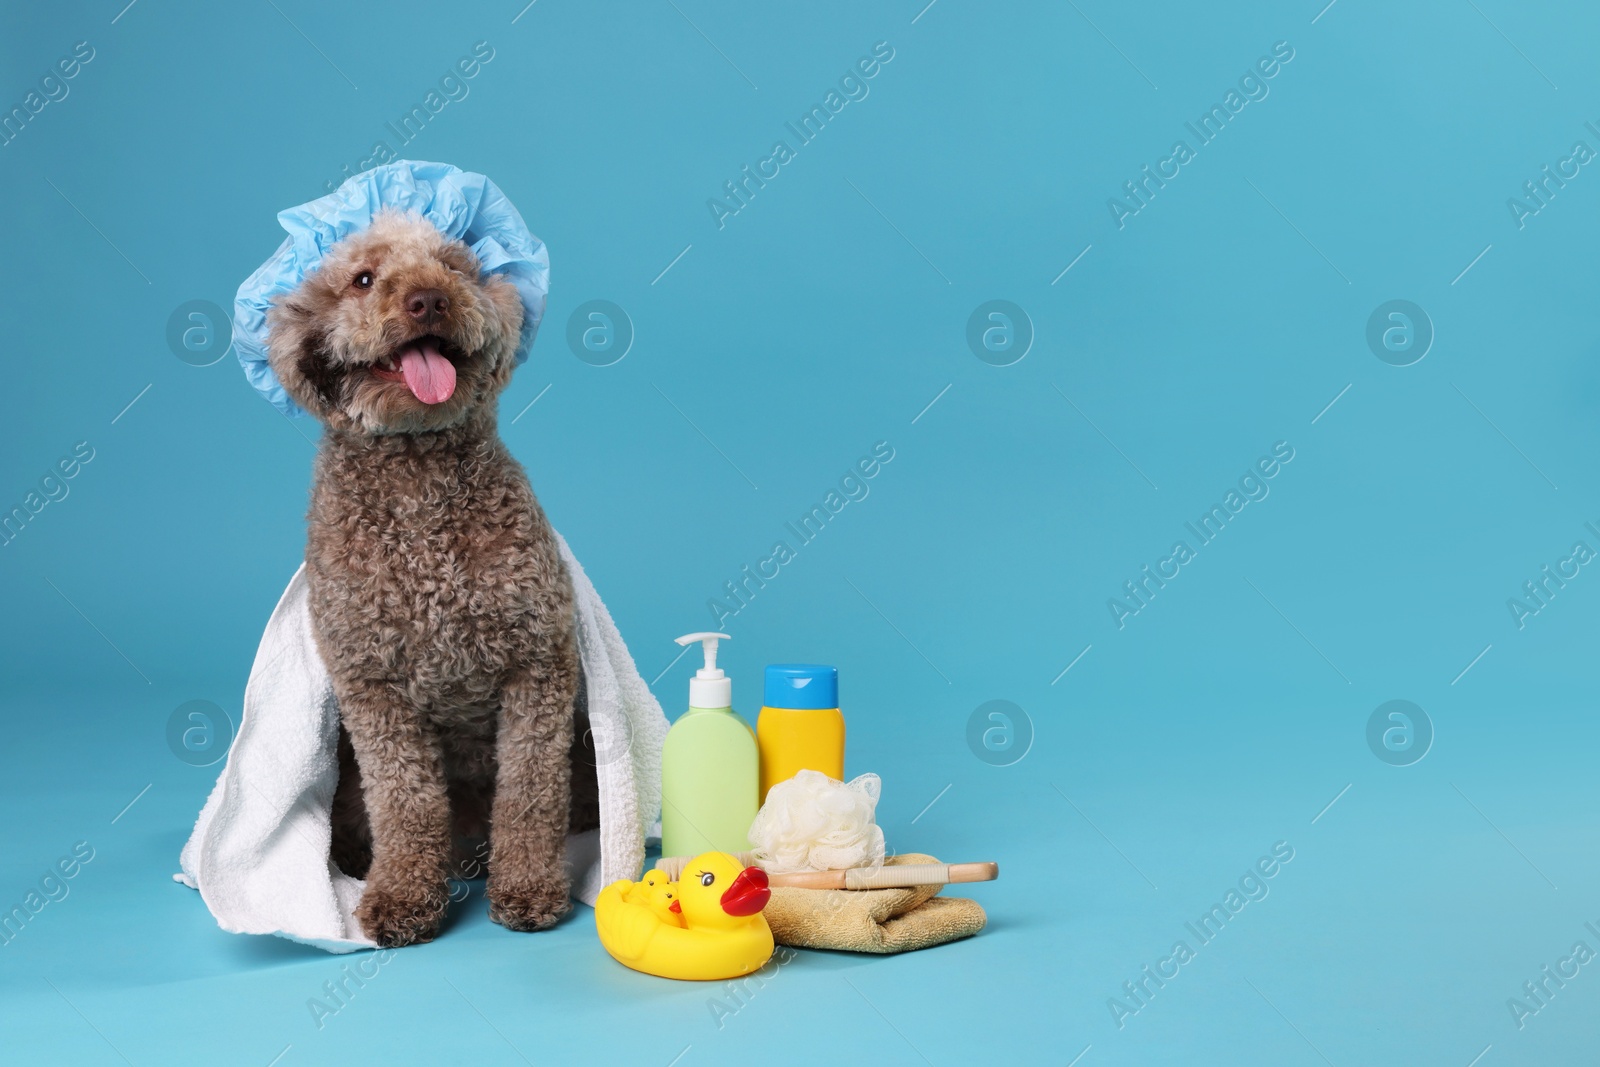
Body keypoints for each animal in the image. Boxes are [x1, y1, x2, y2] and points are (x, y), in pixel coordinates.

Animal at [265, 211, 598, 953]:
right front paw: (403, 895)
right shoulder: (373, 690)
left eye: (453, 266)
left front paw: (530, 887)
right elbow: (405, 801)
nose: (428, 300)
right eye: (363, 279)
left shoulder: (538, 667)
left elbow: (530, 795)